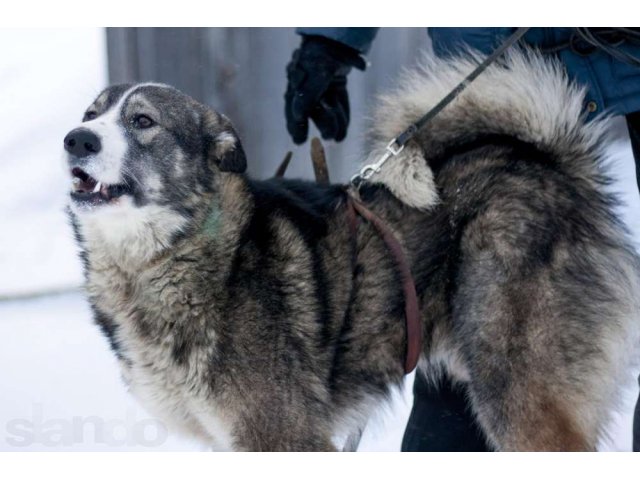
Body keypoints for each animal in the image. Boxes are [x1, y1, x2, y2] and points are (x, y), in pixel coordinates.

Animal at [63, 48, 640, 450]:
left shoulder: (283, 437)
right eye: (91, 114)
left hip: (518, 395)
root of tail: (552, 166)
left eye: (143, 122)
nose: (76, 139)